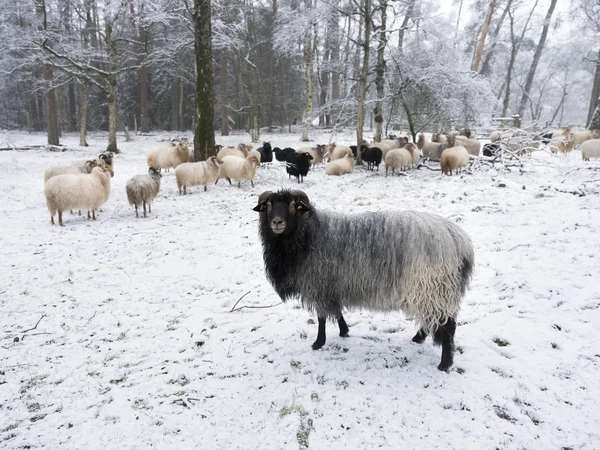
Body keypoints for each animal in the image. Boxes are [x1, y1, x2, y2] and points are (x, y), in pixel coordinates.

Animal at [252, 189, 474, 370]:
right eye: (268, 206)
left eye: (292, 205)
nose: (277, 222)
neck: (308, 235)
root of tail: (460, 241)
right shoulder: (332, 285)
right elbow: (336, 310)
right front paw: (344, 331)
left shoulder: (319, 284)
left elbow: (322, 317)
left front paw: (319, 342)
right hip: (432, 290)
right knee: (433, 320)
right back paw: (418, 339)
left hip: (433, 287)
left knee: (449, 326)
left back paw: (444, 364)